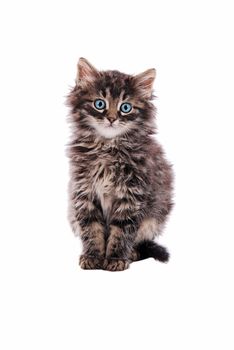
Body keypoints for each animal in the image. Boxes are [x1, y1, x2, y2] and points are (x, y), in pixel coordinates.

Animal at [66, 57, 173, 272]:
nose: (111, 119)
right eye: (100, 104)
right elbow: (92, 229)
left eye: (125, 107)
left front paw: (116, 258)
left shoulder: (131, 195)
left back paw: (131, 253)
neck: (107, 148)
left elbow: (122, 231)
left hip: (154, 218)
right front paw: (92, 256)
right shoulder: (84, 192)